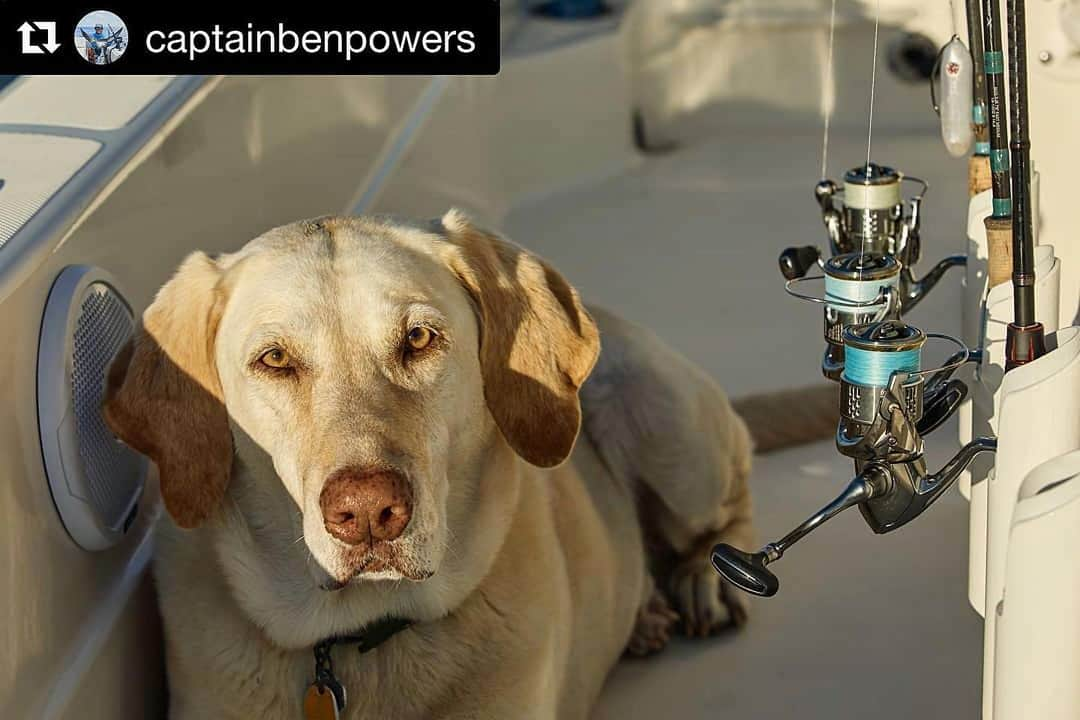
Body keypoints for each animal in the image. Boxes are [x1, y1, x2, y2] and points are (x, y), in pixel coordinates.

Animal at [103, 211, 825, 716]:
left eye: (419, 338)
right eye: (274, 359)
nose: (368, 511)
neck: (360, 645)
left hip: (657, 408)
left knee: (732, 495)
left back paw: (712, 578)